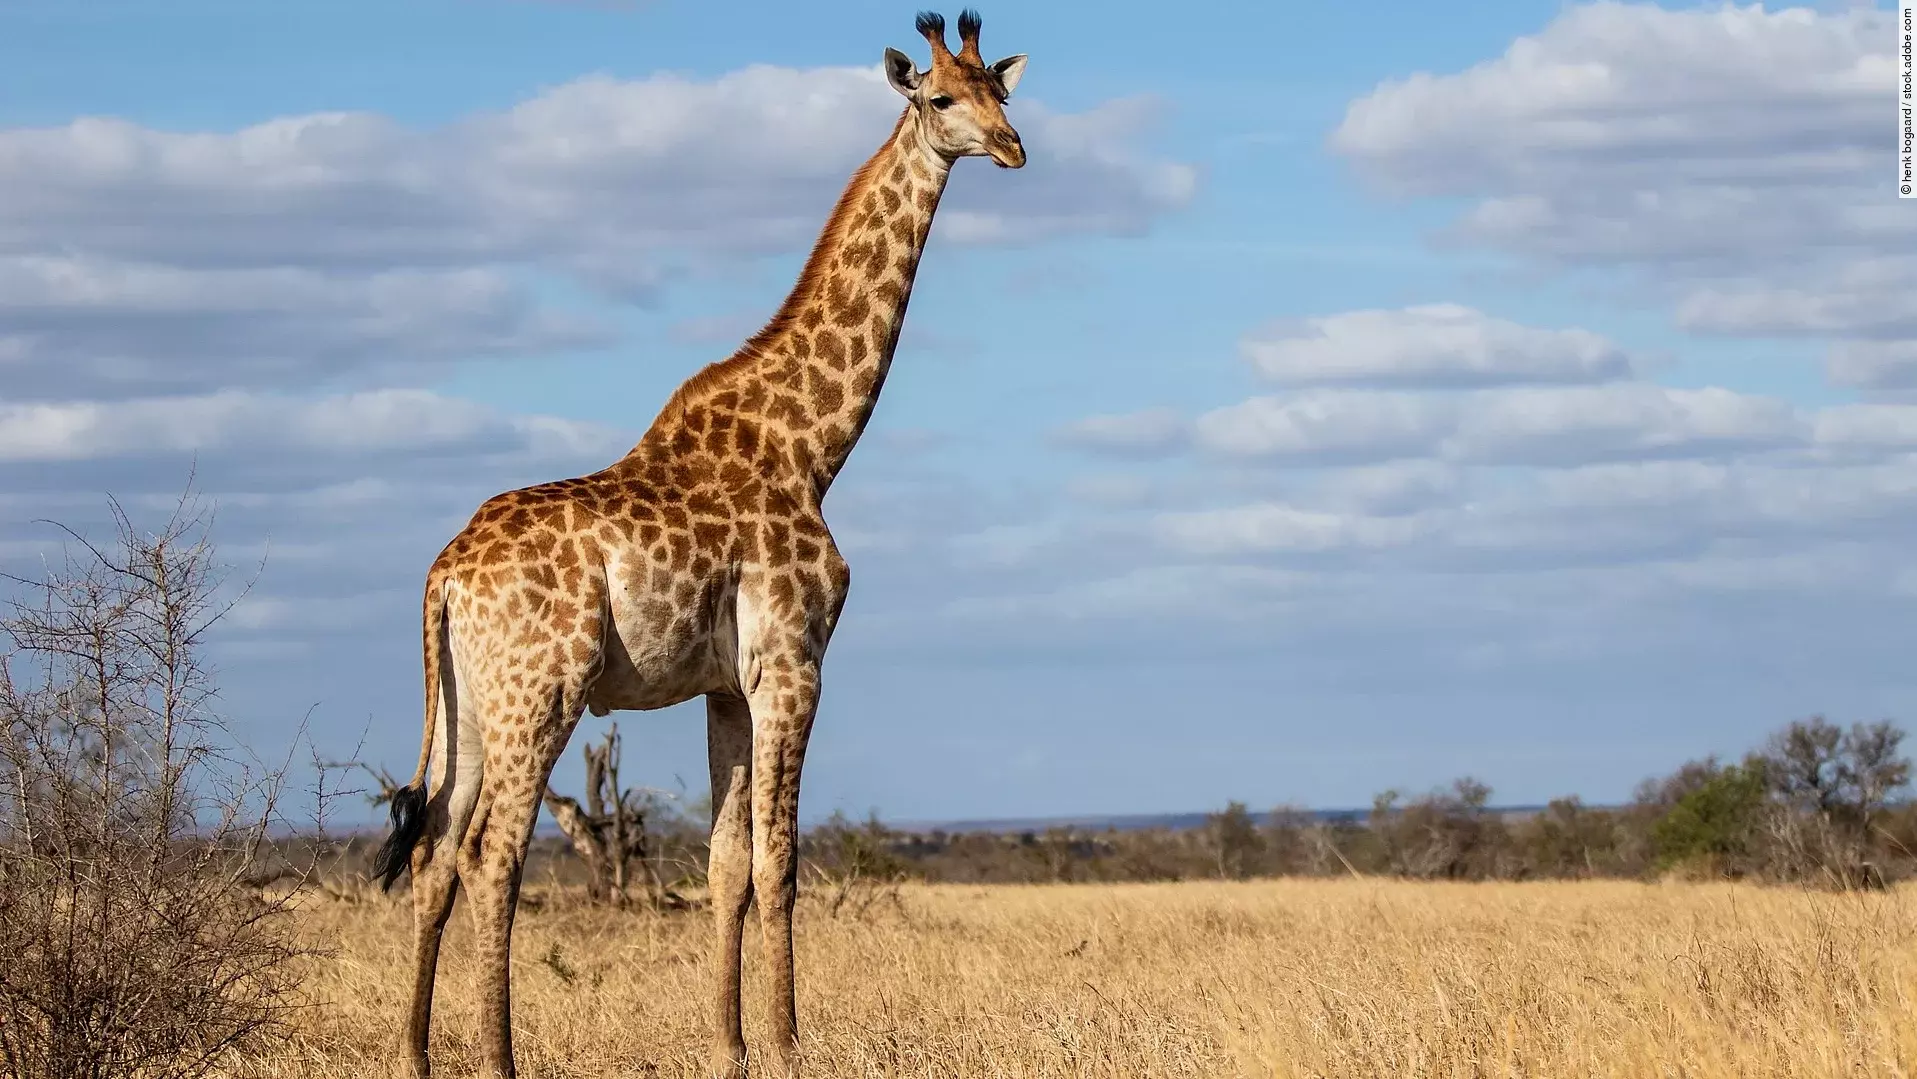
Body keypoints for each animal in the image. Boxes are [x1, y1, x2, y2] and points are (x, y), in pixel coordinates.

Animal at [367, 10, 1029, 1078]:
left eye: (1001, 92)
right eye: (939, 98)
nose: (1013, 148)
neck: (809, 446)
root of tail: (442, 576)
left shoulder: (726, 683)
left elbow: (727, 865)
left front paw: (731, 1044)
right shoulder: (794, 661)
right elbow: (780, 860)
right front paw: (793, 1042)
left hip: (467, 700)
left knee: (431, 848)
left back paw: (417, 1055)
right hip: (541, 690)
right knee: (490, 854)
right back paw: (497, 1057)